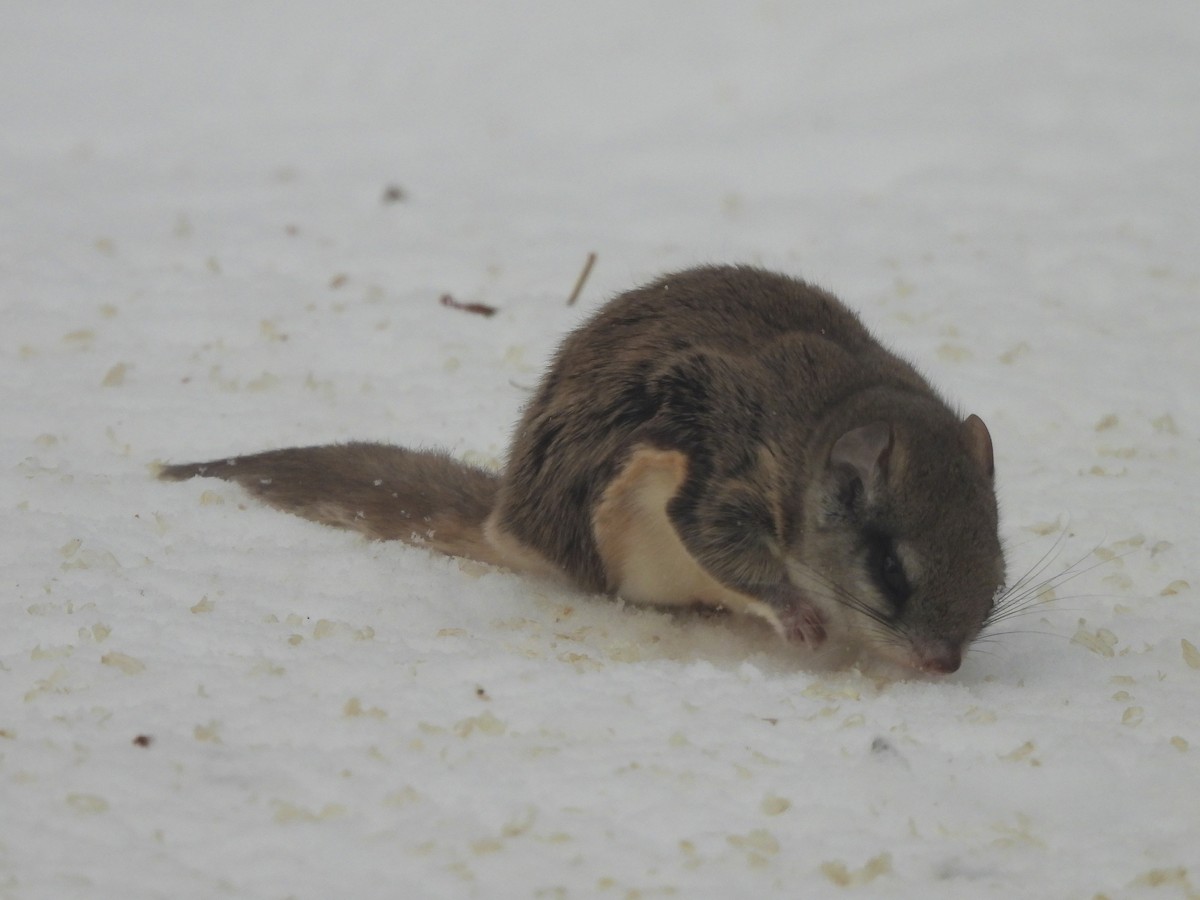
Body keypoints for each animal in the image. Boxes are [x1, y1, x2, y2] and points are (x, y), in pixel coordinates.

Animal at [159, 265, 1005, 674]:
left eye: (995, 570)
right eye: (891, 571)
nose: (945, 665)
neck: (824, 420)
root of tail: (507, 517)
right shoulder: (723, 469)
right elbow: (721, 542)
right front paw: (798, 615)